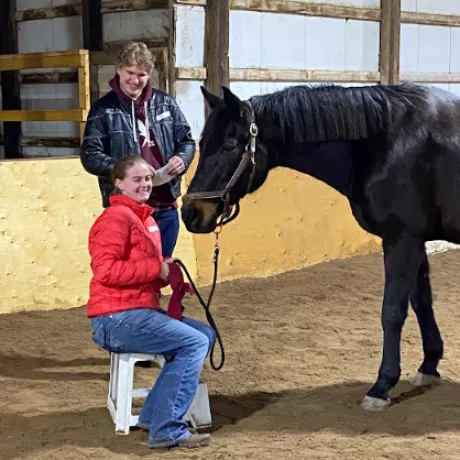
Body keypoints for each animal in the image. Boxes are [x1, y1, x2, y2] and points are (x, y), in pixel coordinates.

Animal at [181, 82, 460, 410]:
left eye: (228, 146)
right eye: (202, 143)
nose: (191, 213)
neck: (385, 143)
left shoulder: (401, 239)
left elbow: (392, 312)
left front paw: (381, 386)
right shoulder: (415, 240)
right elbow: (421, 302)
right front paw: (429, 366)